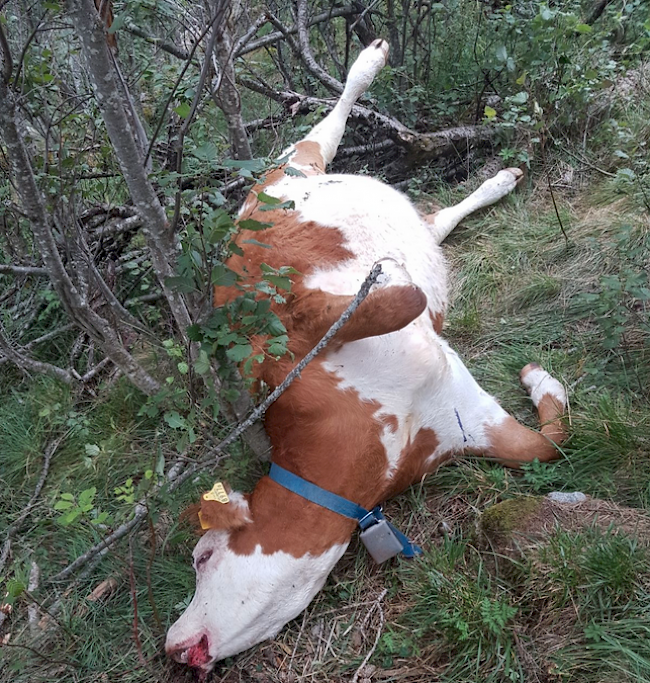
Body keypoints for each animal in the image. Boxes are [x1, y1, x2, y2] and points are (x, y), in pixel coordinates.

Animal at [165, 40, 564, 676]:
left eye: (203, 557)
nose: (173, 645)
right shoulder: (466, 423)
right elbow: (547, 445)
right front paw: (543, 380)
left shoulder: (299, 326)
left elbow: (406, 296)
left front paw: (396, 271)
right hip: (305, 176)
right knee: (435, 218)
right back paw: (494, 181)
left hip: (292, 165)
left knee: (333, 120)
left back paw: (373, 64)